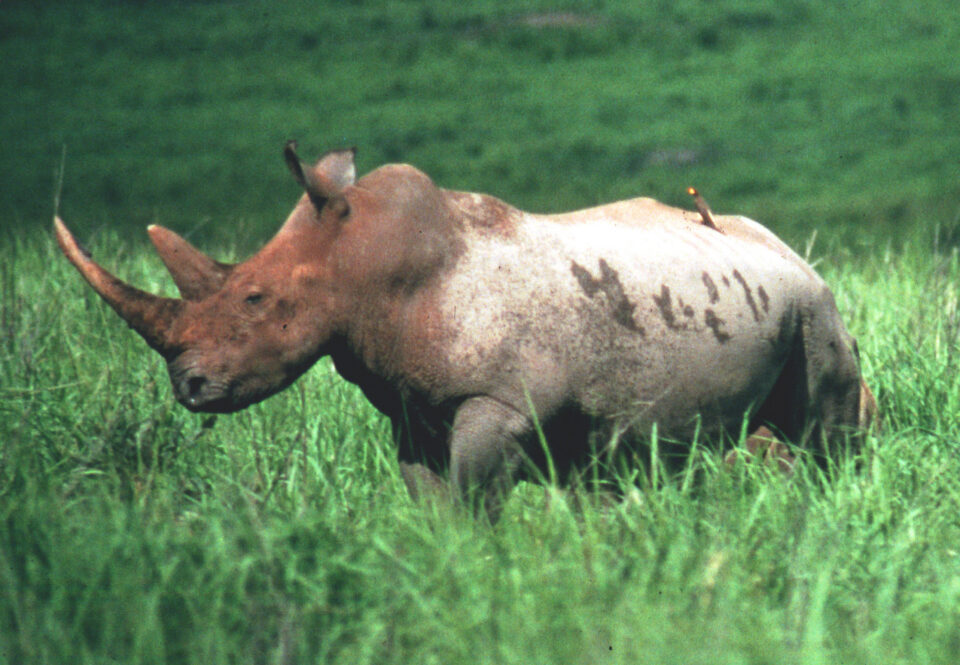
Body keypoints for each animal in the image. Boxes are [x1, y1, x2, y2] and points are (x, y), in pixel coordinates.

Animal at [55, 143, 875, 519]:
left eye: (254, 298)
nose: (189, 387)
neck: (364, 266)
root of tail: (785, 248)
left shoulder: (498, 402)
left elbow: (475, 495)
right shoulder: (412, 412)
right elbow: (434, 502)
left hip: (814, 303)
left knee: (821, 431)